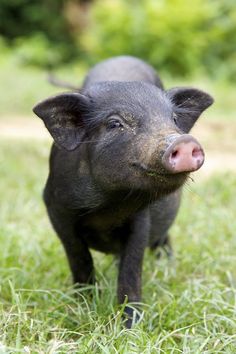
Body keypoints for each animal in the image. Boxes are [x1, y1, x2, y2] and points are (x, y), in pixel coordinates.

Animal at [33, 56, 214, 330]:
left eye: (173, 119)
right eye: (115, 123)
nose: (183, 141)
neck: (108, 206)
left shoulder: (141, 219)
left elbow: (131, 269)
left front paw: (131, 327)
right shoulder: (57, 209)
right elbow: (79, 259)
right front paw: (83, 308)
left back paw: (168, 266)